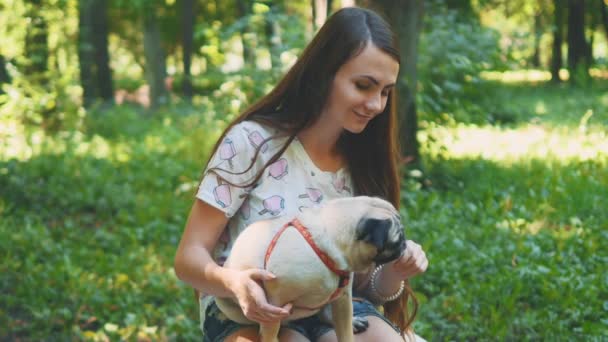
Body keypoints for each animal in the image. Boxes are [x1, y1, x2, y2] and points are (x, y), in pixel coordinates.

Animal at [216, 195, 406, 342]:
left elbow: (345, 333)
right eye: (396, 240)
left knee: (326, 315)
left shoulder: (343, 298)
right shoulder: (273, 304)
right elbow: (269, 333)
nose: (404, 244)